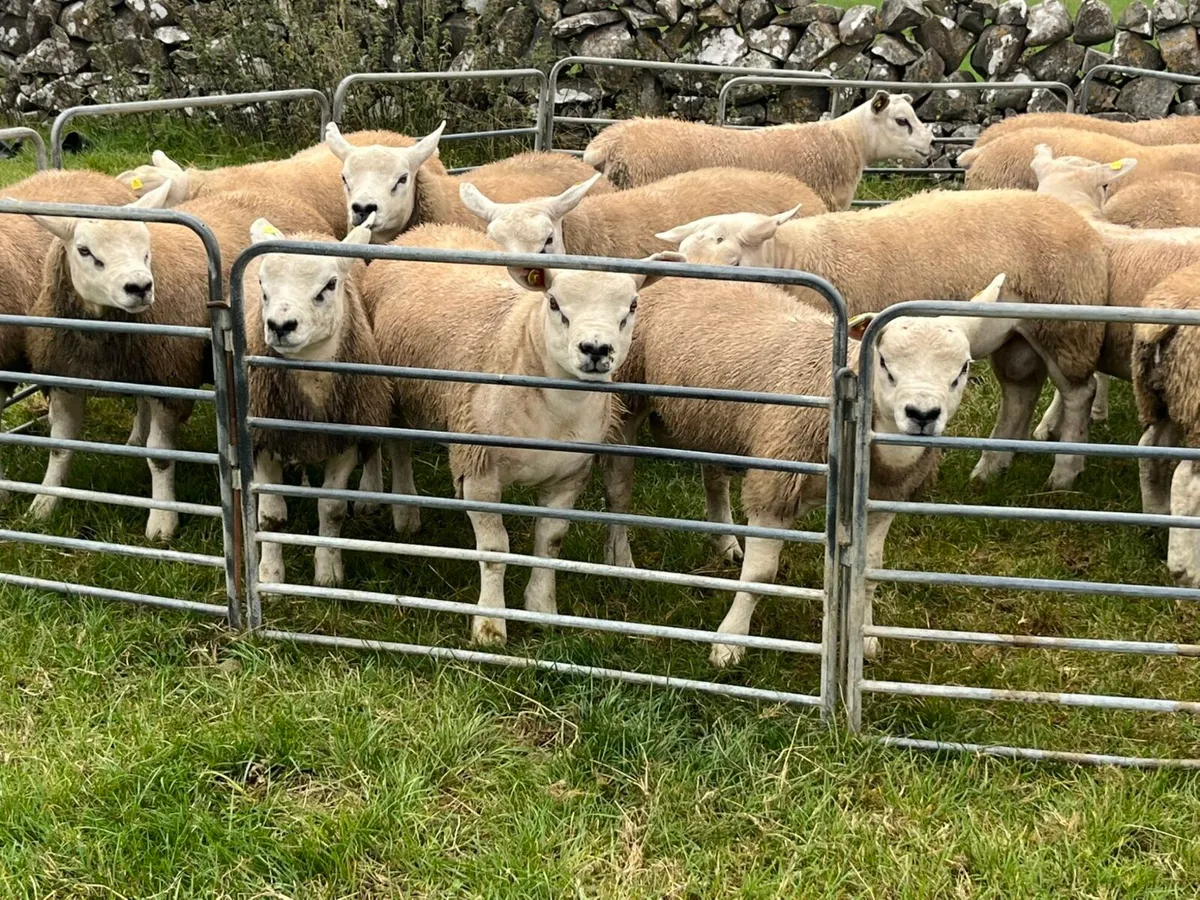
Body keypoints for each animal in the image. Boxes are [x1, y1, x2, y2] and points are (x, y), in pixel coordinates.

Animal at [28, 185, 332, 540]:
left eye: (146, 249)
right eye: (84, 251)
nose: (140, 287)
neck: (101, 336)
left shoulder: (169, 383)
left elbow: (160, 457)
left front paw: (162, 519)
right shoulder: (65, 377)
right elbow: (59, 448)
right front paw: (43, 503)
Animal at [244, 216, 392, 588]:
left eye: (330, 284)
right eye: (262, 284)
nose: (280, 326)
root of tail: (305, 232)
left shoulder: (345, 438)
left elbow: (331, 509)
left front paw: (328, 573)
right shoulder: (264, 437)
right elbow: (270, 517)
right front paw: (270, 576)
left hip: (369, 402)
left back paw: (371, 491)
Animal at [360, 222, 675, 645]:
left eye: (633, 306)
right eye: (555, 303)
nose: (596, 349)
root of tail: (427, 228)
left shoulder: (569, 475)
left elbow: (551, 541)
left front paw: (542, 607)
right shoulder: (479, 470)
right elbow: (495, 550)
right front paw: (490, 626)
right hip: (392, 385)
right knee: (396, 443)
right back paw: (405, 511)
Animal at [604, 273, 1017, 667]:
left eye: (962, 369)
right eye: (884, 364)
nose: (922, 414)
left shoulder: (882, 500)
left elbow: (870, 572)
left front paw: (865, 638)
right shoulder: (776, 484)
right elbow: (760, 577)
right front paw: (729, 643)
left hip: (713, 420)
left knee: (714, 479)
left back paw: (726, 542)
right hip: (627, 400)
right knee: (618, 491)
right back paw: (620, 559)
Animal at [656, 189, 1110, 490]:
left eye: (734, 261)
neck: (795, 259)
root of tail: (1079, 220)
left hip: (1067, 326)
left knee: (1078, 392)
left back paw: (1064, 473)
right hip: (1016, 337)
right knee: (1020, 391)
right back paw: (990, 469)